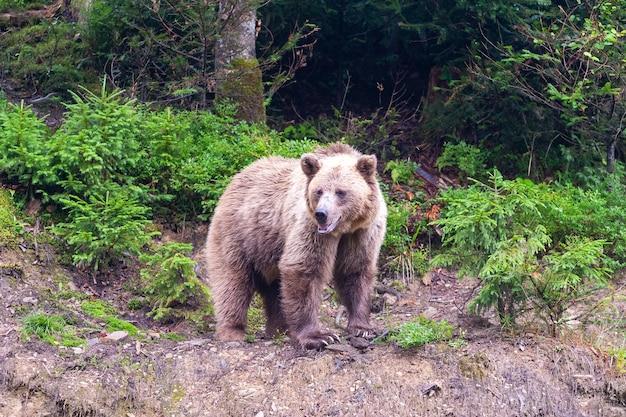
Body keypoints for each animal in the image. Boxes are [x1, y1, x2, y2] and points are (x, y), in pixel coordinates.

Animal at [205, 142, 386, 348]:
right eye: (319, 191)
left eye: (341, 191)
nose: (321, 214)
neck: (344, 229)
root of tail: (235, 179)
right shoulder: (309, 227)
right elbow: (303, 269)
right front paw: (320, 336)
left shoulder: (362, 233)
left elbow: (355, 270)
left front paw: (362, 327)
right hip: (240, 236)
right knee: (233, 281)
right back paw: (233, 330)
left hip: (269, 250)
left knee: (275, 290)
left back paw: (279, 329)